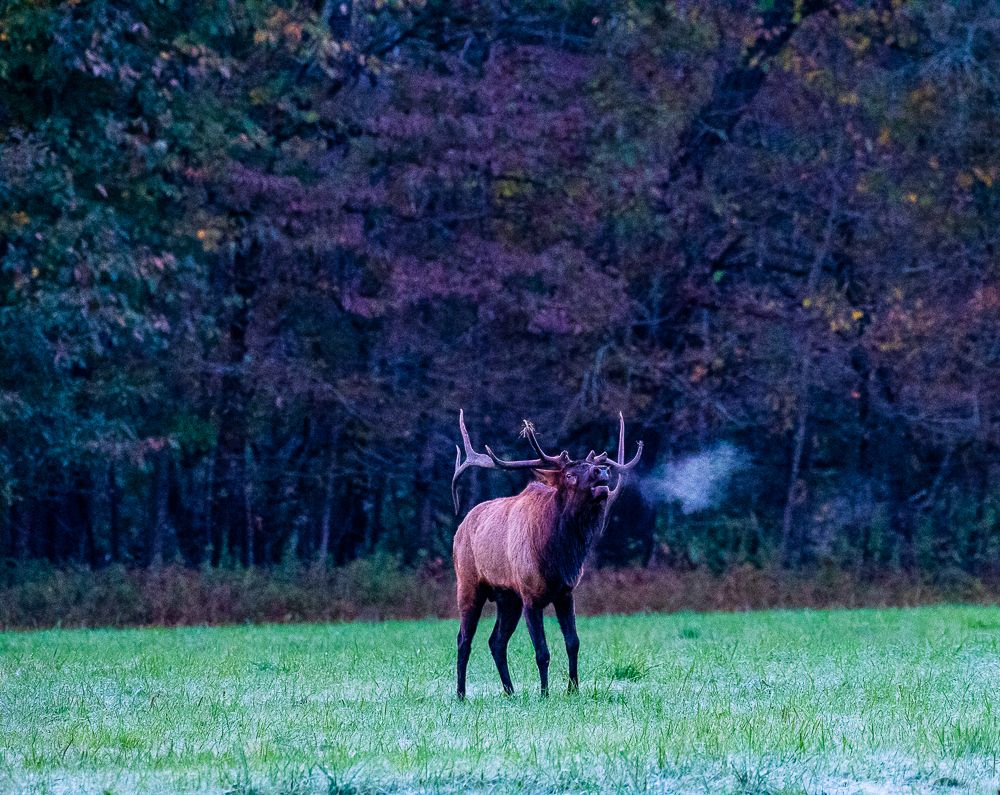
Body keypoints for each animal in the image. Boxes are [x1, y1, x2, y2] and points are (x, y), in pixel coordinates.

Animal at [451, 410, 642, 699]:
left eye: (590, 466)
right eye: (570, 474)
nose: (602, 470)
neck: (558, 557)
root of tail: (459, 529)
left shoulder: (565, 592)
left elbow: (573, 642)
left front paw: (573, 689)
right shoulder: (530, 595)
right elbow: (542, 651)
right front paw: (545, 693)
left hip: (508, 597)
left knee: (496, 641)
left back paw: (510, 691)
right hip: (470, 583)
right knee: (464, 639)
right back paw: (461, 694)